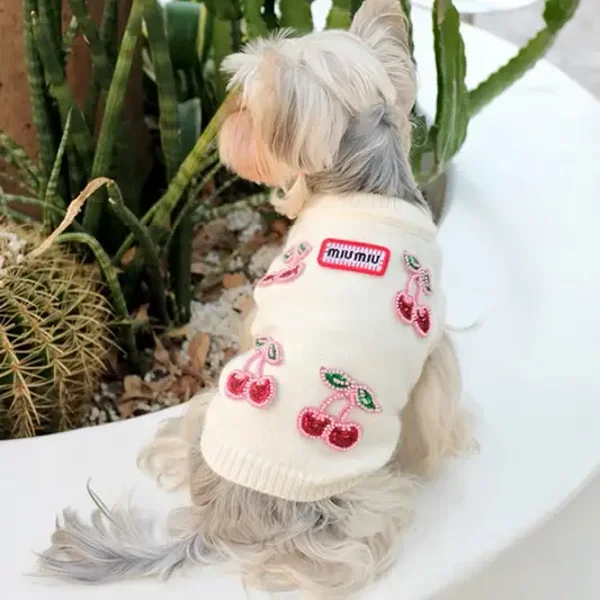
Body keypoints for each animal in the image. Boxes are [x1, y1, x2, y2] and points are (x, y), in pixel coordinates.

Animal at [39, 1, 473, 597]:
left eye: (246, 105)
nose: (227, 124)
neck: (366, 186)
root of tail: (219, 516)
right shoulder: (434, 353)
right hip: (363, 501)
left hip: (207, 414)